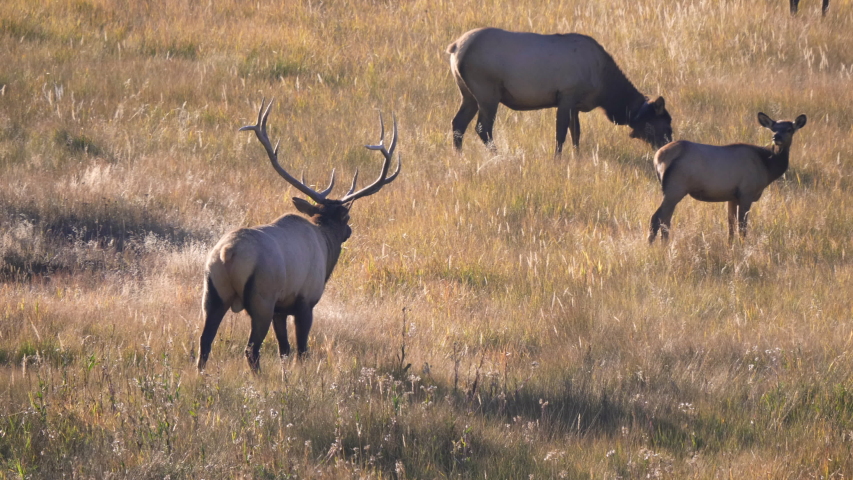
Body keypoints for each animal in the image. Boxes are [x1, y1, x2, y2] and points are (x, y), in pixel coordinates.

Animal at [197, 99, 400, 373]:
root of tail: (227, 253)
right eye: (347, 218)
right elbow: (301, 349)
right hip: (262, 297)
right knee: (251, 349)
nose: (349, 231)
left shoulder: (281, 309)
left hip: (212, 292)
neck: (326, 247)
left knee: (204, 342)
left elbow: (284, 349)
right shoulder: (305, 300)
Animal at [447, 27, 673, 156]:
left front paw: (576, 158)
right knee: (482, 128)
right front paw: (558, 160)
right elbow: (561, 133)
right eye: (664, 123)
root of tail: (455, 47)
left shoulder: (575, 105)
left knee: (458, 123)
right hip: (487, 92)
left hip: (468, 94)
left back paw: (459, 157)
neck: (604, 87)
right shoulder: (566, 95)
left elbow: (576, 133)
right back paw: (498, 156)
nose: (667, 144)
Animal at [648, 112, 806, 243]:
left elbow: (730, 226)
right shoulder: (746, 193)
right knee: (657, 217)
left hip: (671, 190)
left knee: (666, 220)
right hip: (675, 188)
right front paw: (742, 248)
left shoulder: (732, 196)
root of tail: (658, 157)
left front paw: (730, 246)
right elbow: (742, 227)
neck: (767, 167)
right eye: (773, 128)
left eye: (789, 129)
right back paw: (652, 246)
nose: (776, 137)